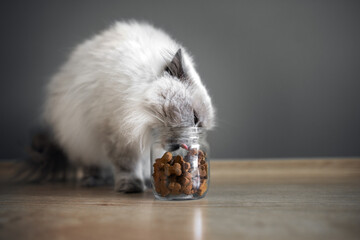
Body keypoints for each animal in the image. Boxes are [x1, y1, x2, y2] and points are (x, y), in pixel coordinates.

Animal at [26, 20, 217, 193]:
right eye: (195, 118)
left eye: (199, 124)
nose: (187, 145)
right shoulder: (118, 133)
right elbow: (126, 166)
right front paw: (131, 187)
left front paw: (148, 183)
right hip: (79, 138)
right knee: (90, 164)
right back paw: (93, 180)